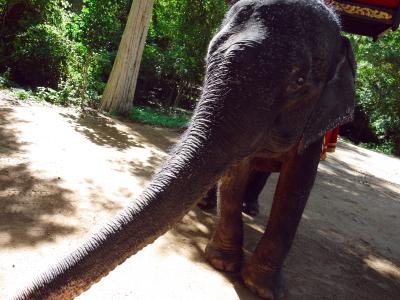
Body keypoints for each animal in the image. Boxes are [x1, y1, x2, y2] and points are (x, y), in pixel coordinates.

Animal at [16, 0, 356, 298]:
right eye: (210, 58)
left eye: (299, 81)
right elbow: (235, 173)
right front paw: (221, 262)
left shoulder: (318, 122)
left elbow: (297, 186)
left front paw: (261, 288)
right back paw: (208, 205)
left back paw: (251, 209)